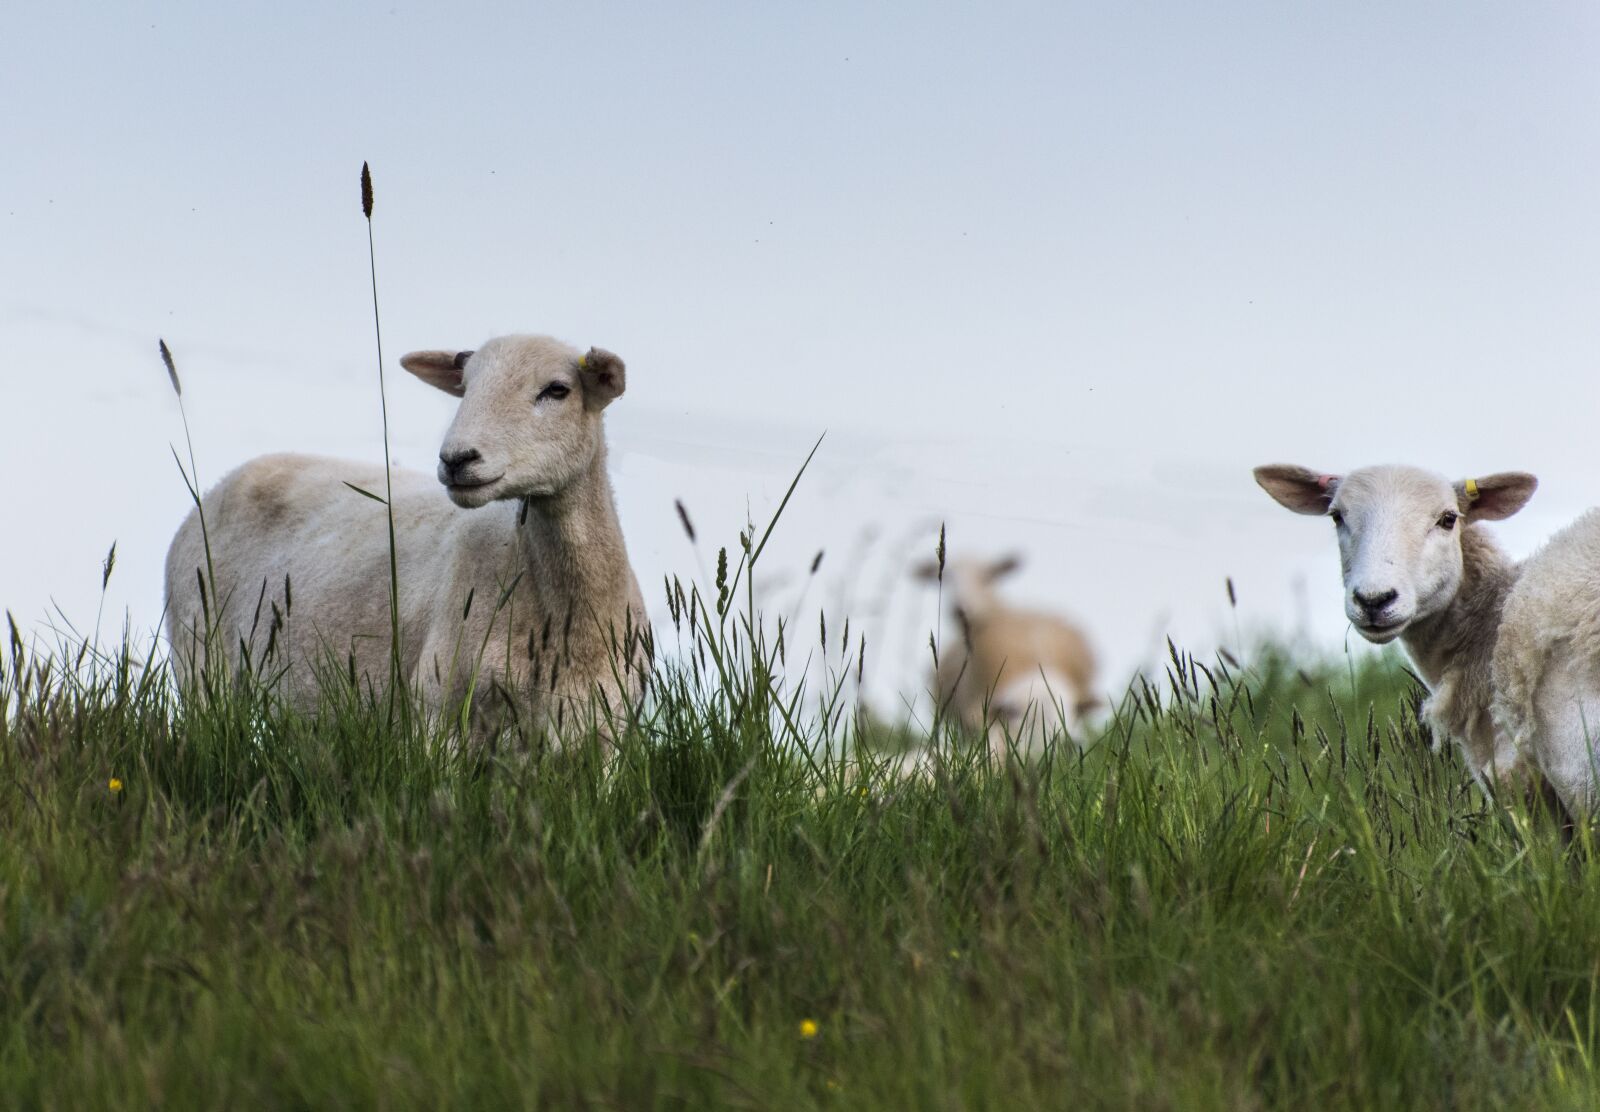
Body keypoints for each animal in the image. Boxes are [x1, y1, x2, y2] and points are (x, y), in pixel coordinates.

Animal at [165, 334, 650, 740]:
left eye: (557, 390)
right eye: (466, 388)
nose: (456, 459)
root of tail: (224, 483)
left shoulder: (605, 732)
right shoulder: (436, 709)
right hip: (199, 660)